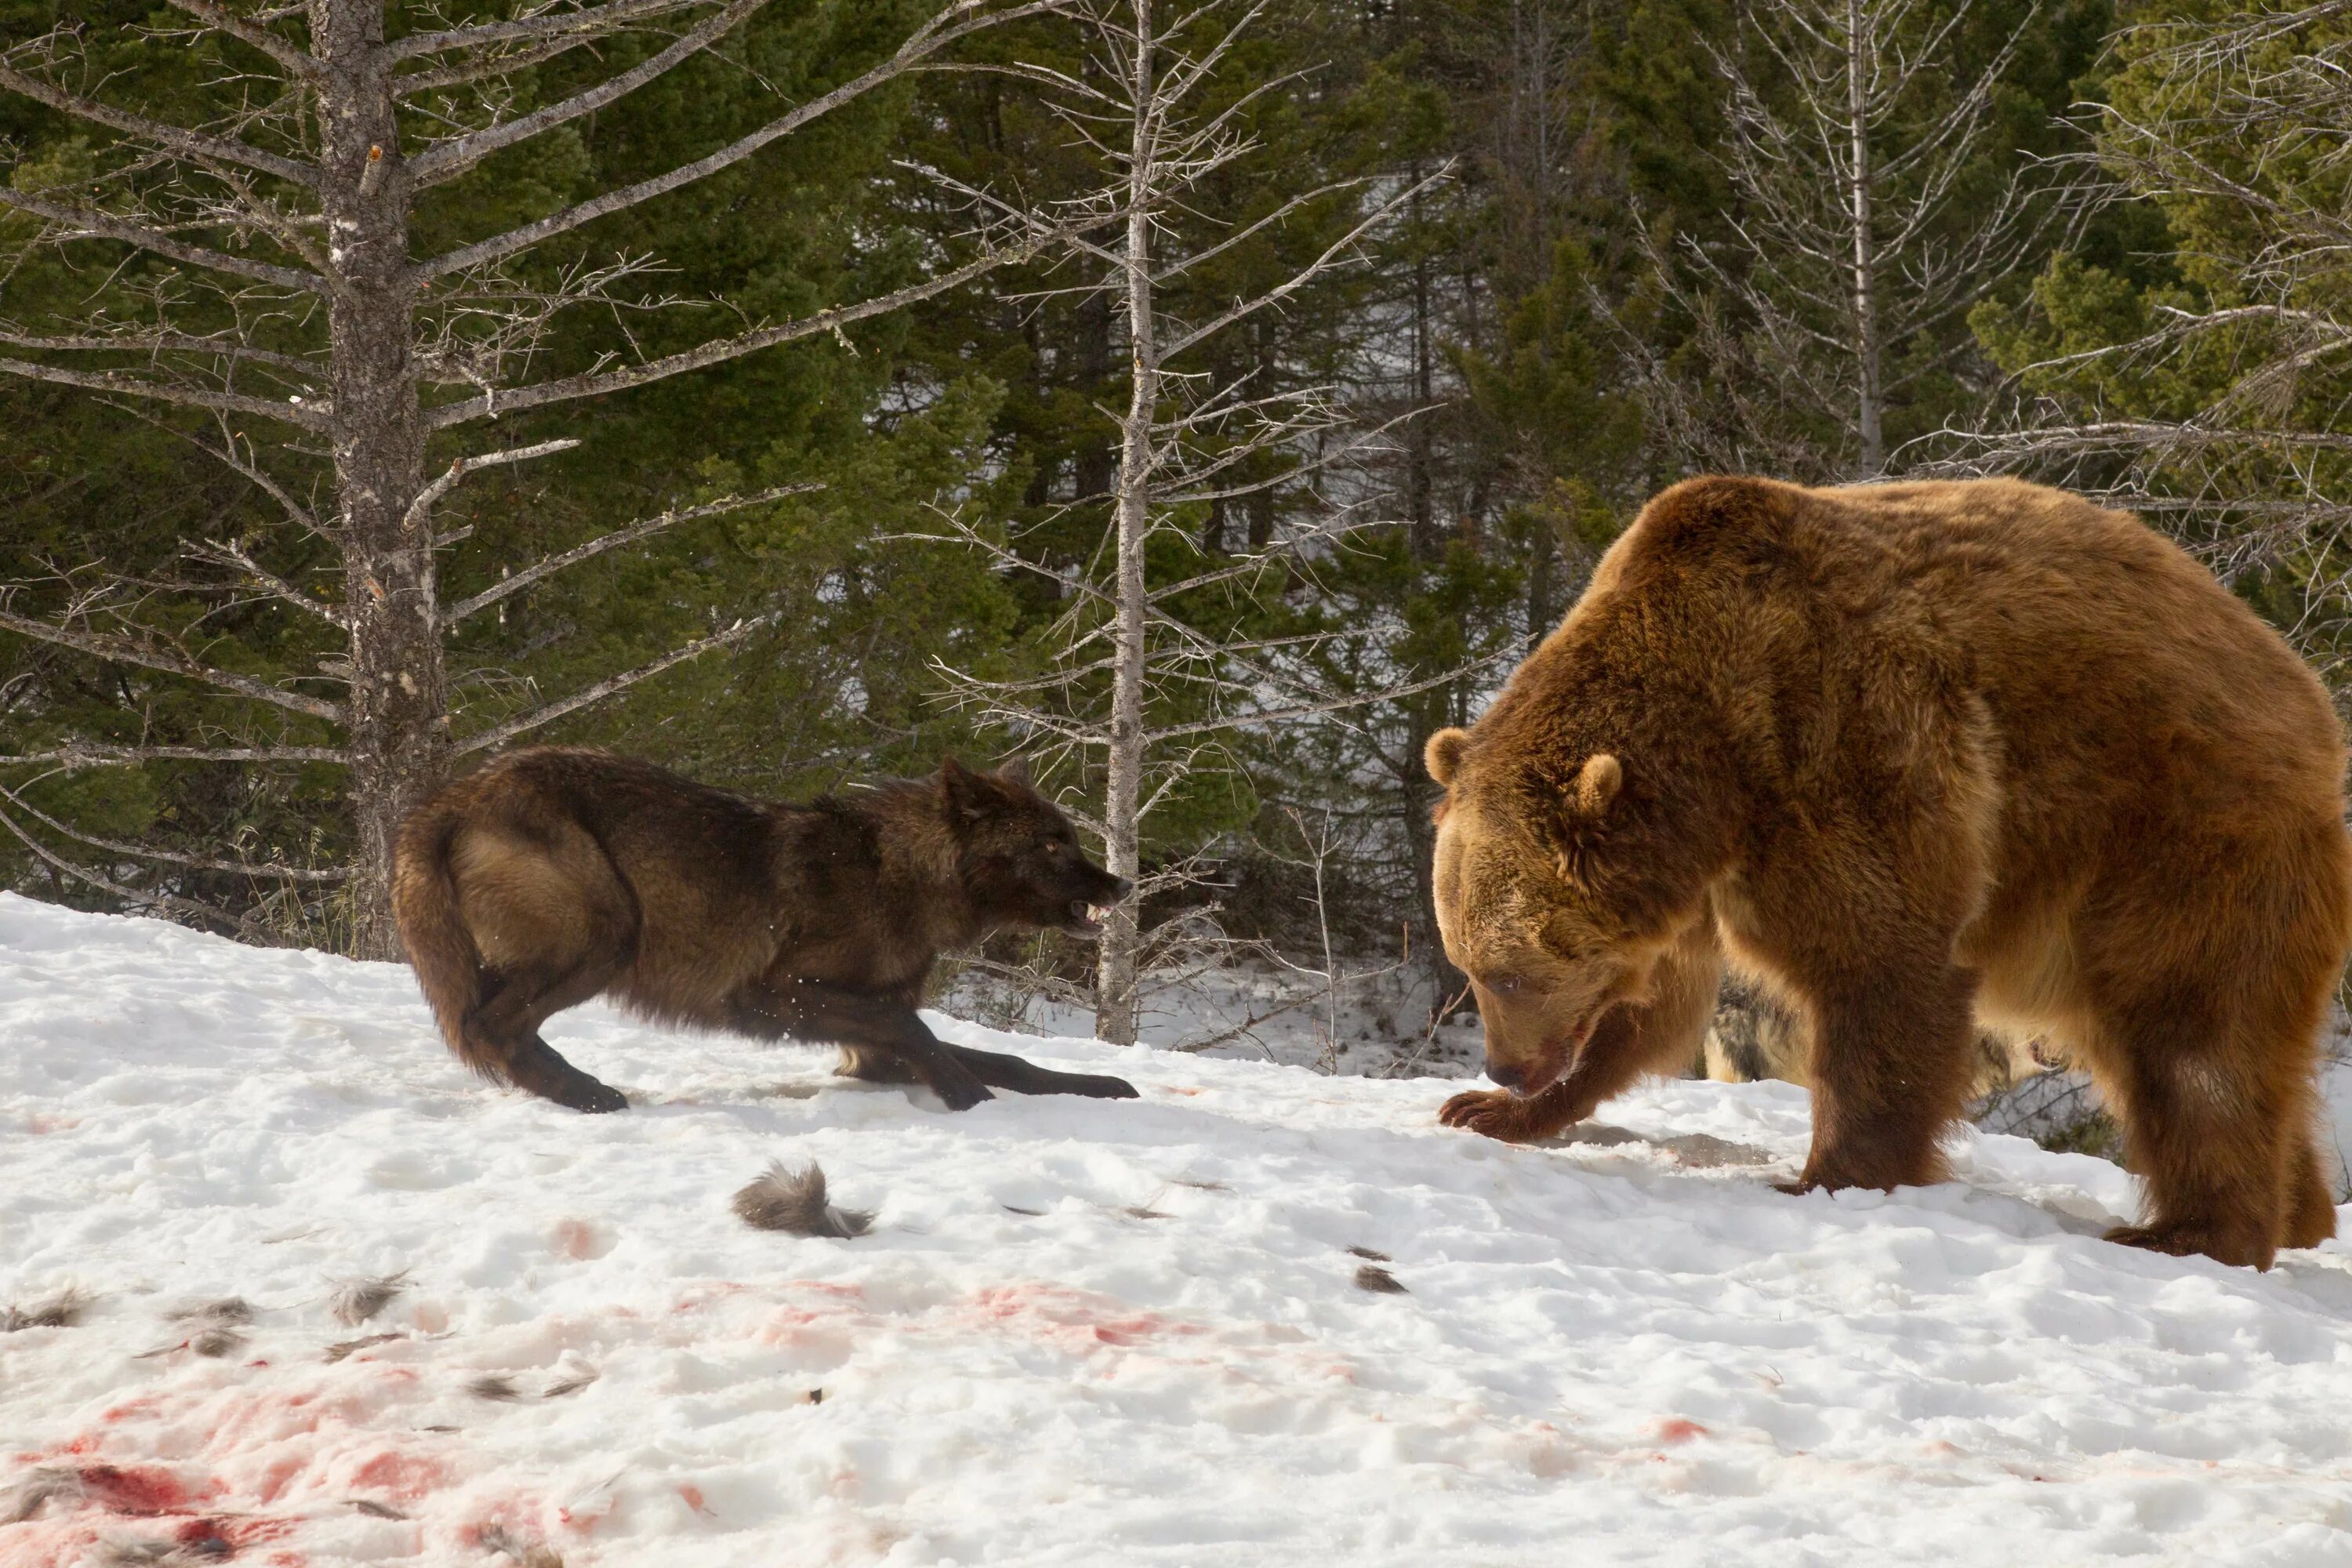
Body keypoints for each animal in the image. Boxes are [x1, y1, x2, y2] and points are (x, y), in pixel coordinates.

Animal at [1421, 472, 2343, 1269]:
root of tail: (2304, 690)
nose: (1504, 1065)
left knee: (2192, 1037)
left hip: (2176, 834)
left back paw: (2193, 1231)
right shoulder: (1689, 881)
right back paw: (2301, 1215)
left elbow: (1882, 966)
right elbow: (1656, 1006)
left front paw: (1829, 1174)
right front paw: (1497, 1111)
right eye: (1469, 965)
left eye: (1508, 971)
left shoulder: (1849, 748)